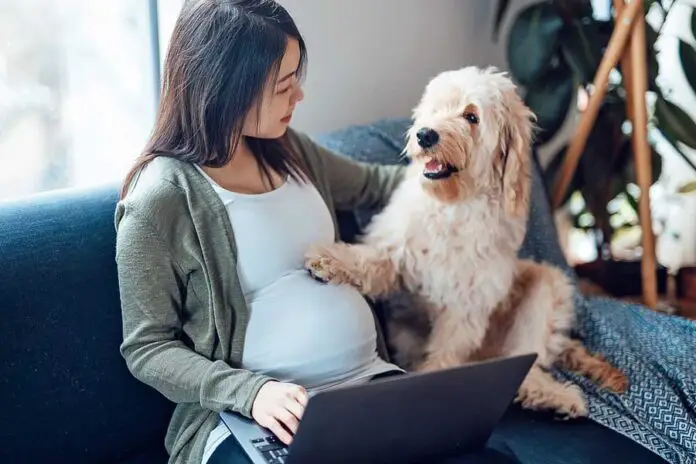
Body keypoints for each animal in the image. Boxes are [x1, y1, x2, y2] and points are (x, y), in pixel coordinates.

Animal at [302, 65, 628, 416]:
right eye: (434, 109)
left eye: (471, 116)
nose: (425, 134)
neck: (454, 206)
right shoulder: (399, 255)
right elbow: (369, 260)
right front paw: (329, 259)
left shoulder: (468, 305)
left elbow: (447, 352)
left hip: (547, 286)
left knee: (531, 360)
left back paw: (554, 395)